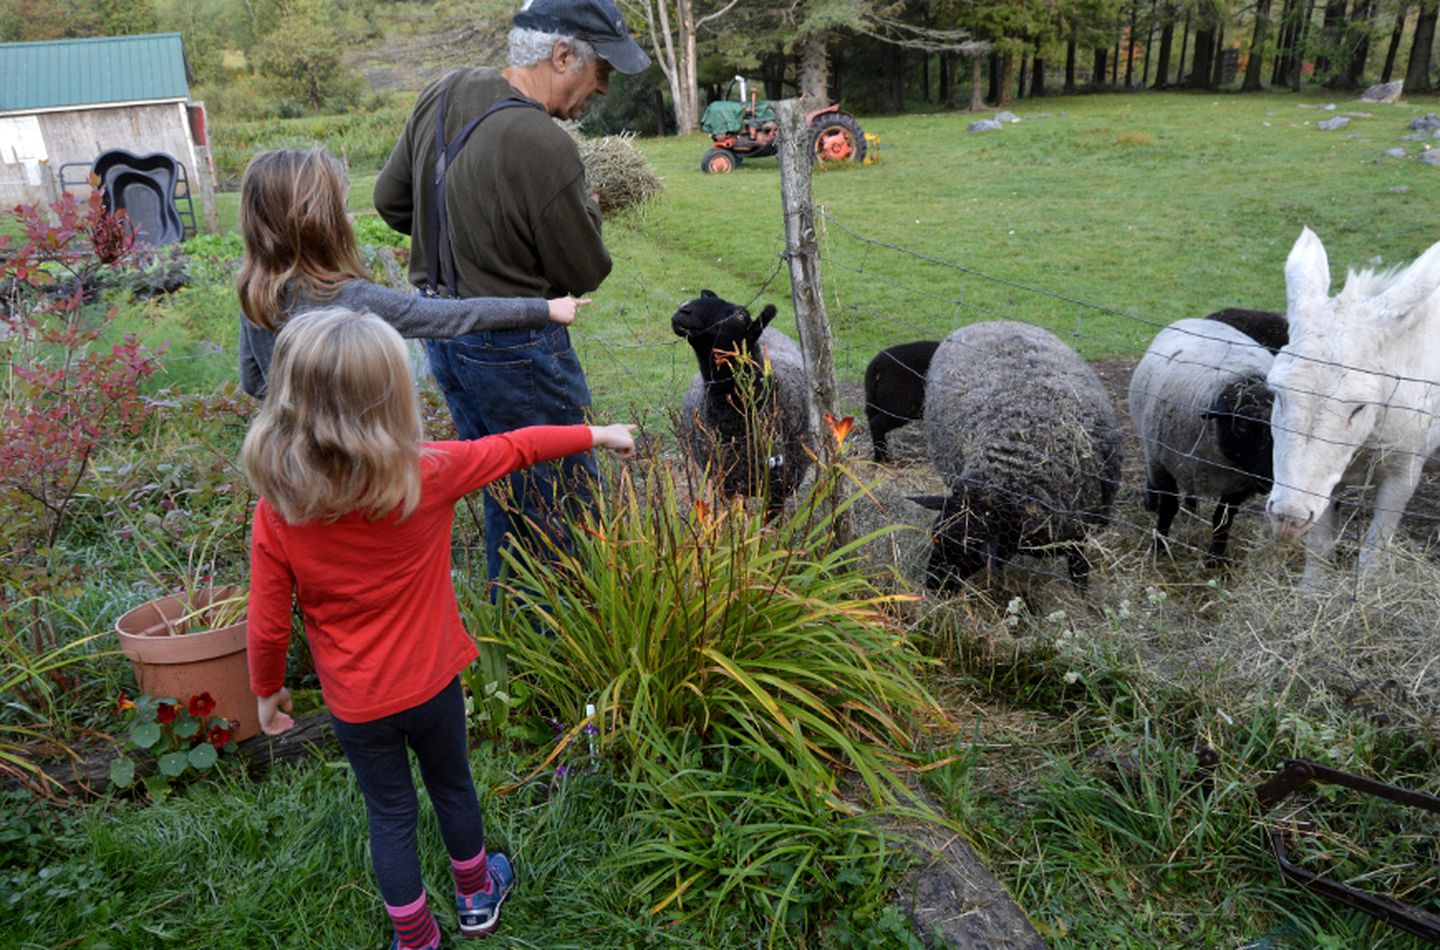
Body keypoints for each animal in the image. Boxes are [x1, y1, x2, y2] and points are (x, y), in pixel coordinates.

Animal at [910, 320, 1123, 587]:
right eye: (935, 535)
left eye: (969, 553)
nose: (932, 587)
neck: (1013, 462)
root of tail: (990, 322)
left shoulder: (1077, 533)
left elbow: (1080, 573)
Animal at [1128, 316, 1278, 564]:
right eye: (1242, 425)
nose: (1270, 481)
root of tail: (1196, 318)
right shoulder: (1163, 462)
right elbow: (1168, 509)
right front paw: (1159, 547)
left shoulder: (1239, 483)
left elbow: (1223, 519)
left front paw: (1215, 557)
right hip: (1152, 445)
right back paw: (1151, 502)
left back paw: (1191, 507)